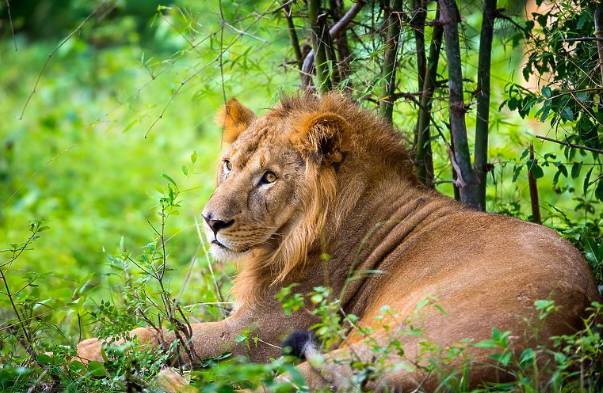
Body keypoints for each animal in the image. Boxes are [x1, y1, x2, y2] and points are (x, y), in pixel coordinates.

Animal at [78, 93, 600, 390]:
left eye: (268, 178)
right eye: (229, 165)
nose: (211, 221)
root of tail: (565, 336)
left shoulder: (263, 331)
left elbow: (169, 336)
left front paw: (91, 348)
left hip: (386, 339)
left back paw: (166, 380)